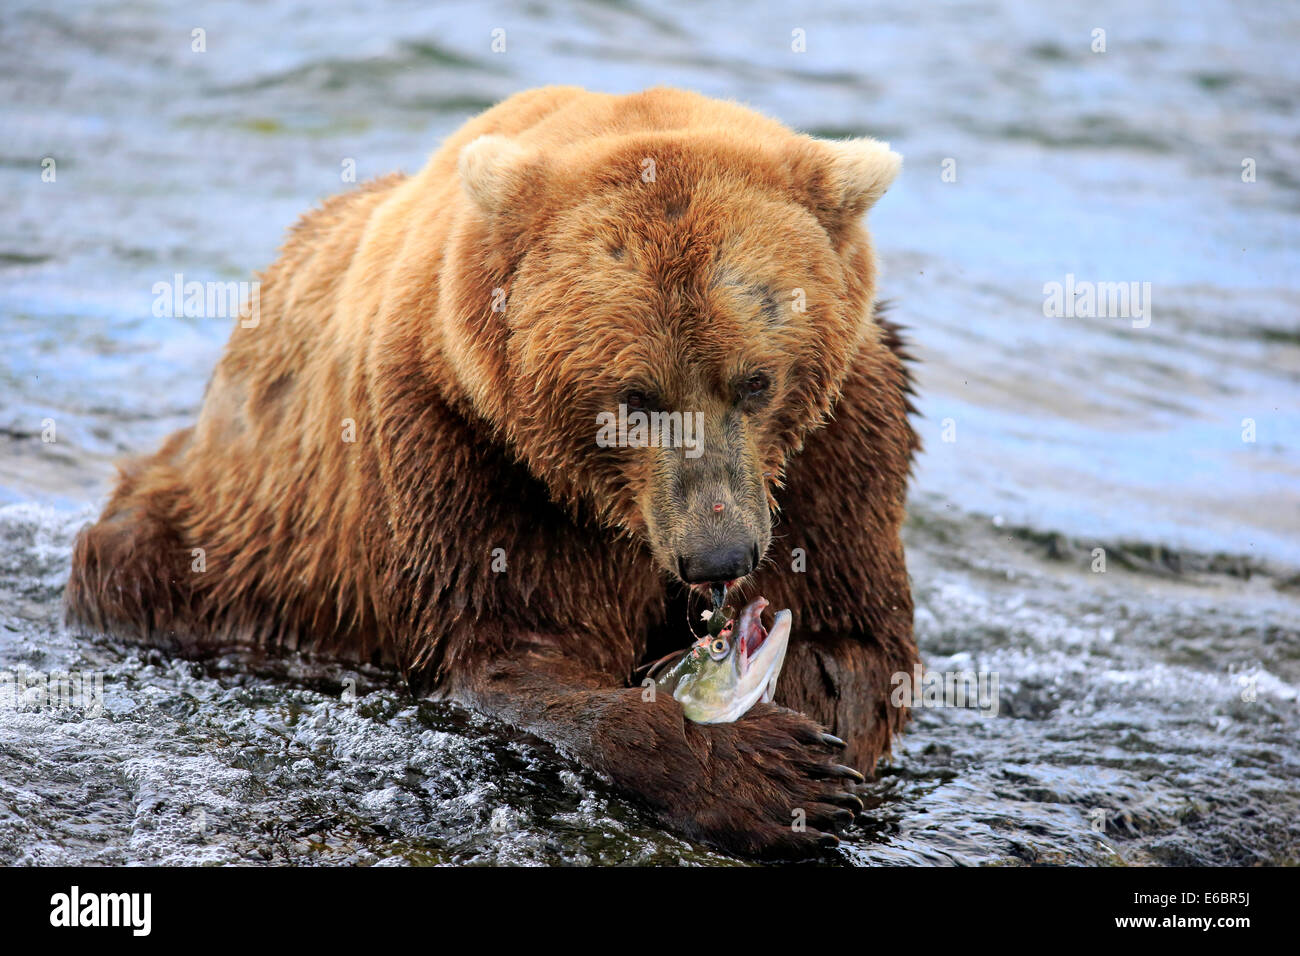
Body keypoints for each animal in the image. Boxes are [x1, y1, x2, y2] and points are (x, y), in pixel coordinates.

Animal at [65, 85, 920, 858]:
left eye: (757, 381)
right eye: (635, 396)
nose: (718, 556)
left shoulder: (842, 443)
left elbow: (852, 641)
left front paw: (808, 746)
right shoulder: (464, 447)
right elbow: (508, 655)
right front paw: (762, 772)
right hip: (229, 545)